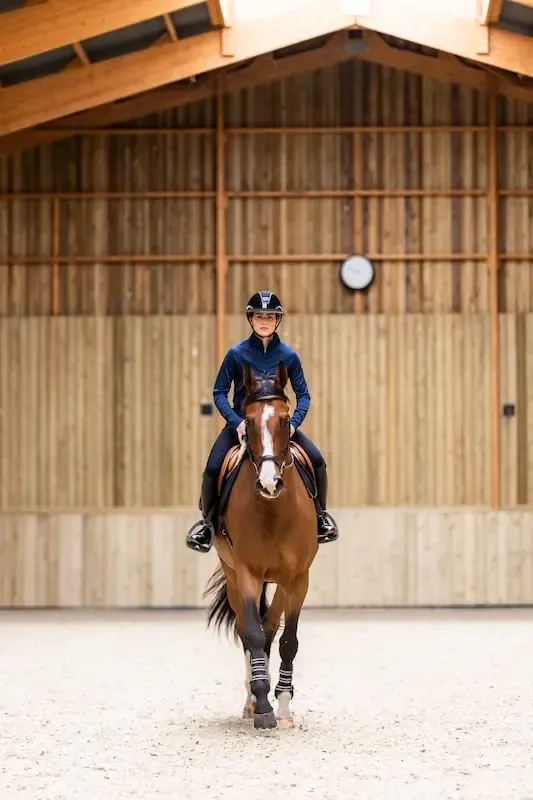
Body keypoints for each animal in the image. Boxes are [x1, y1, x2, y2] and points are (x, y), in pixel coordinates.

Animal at [203, 361, 319, 730]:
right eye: (249, 420)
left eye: (285, 419)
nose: (270, 483)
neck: (272, 511)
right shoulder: (247, 573)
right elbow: (252, 635)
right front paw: (263, 707)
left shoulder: (297, 578)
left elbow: (287, 640)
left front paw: (281, 705)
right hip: (232, 576)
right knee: (248, 630)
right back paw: (251, 700)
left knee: (270, 629)